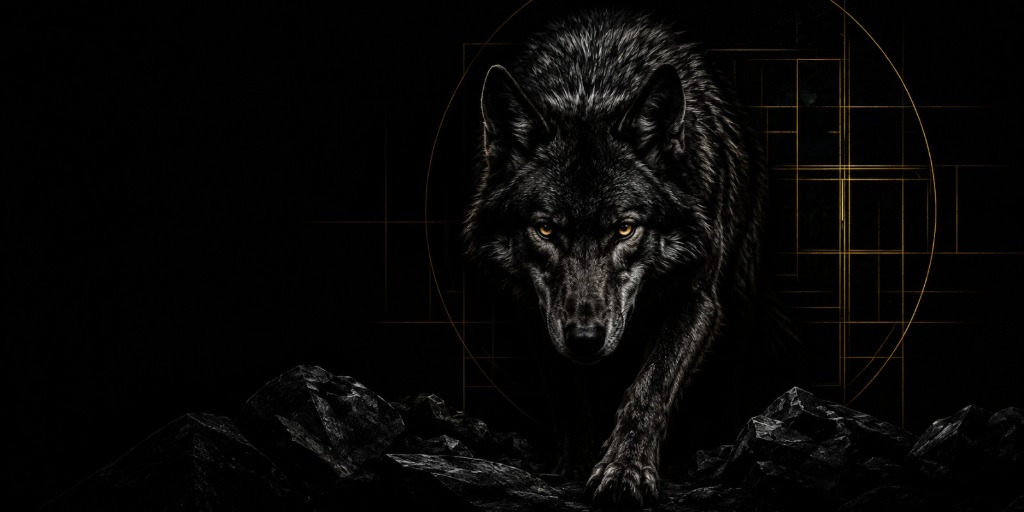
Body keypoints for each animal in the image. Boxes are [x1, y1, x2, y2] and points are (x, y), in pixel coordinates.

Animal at [463, 9, 799, 508]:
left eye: (624, 228)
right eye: (546, 229)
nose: (585, 338)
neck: (591, 84)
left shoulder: (697, 299)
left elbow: (650, 386)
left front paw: (625, 471)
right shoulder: (534, 308)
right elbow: (566, 393)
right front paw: (572, 467)